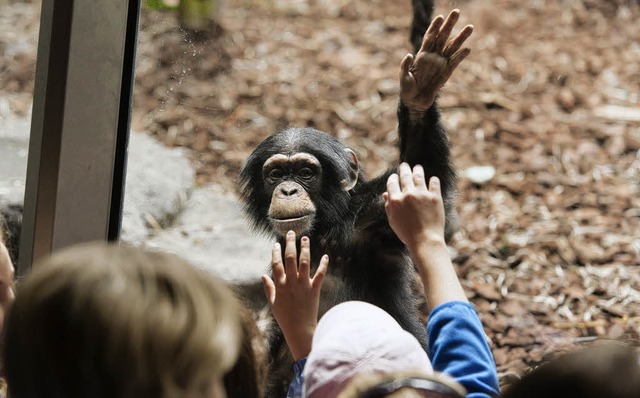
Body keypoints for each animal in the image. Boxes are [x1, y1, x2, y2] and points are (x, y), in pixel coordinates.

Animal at [238, 7, 472, 398]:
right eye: (276, 174)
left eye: (306, 172)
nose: (287, 190)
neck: (322, 233)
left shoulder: (371, 221)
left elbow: (420, 167)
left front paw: (422, 87)